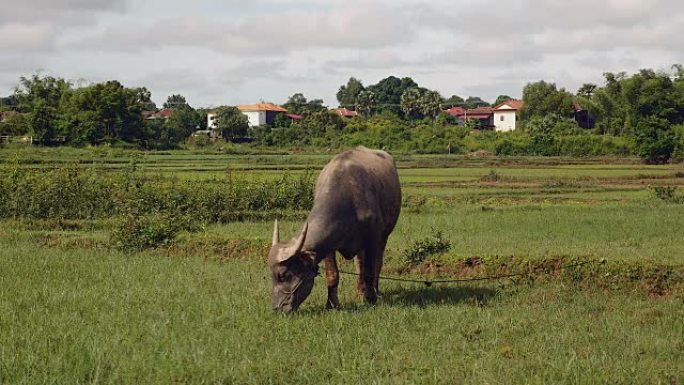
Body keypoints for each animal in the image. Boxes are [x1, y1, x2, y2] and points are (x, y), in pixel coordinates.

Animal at [268, 146, 400, 310]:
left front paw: (371, 299)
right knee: (359, 263)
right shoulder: (328, 245)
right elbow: (332, 274)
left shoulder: (372, 239)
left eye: (283, 275)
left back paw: (374, 291)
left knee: (377, 263)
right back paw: (360, 290)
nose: (277, 308)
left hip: (384, 237)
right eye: (272, 276)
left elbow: (370, 270)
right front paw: (332, 304)